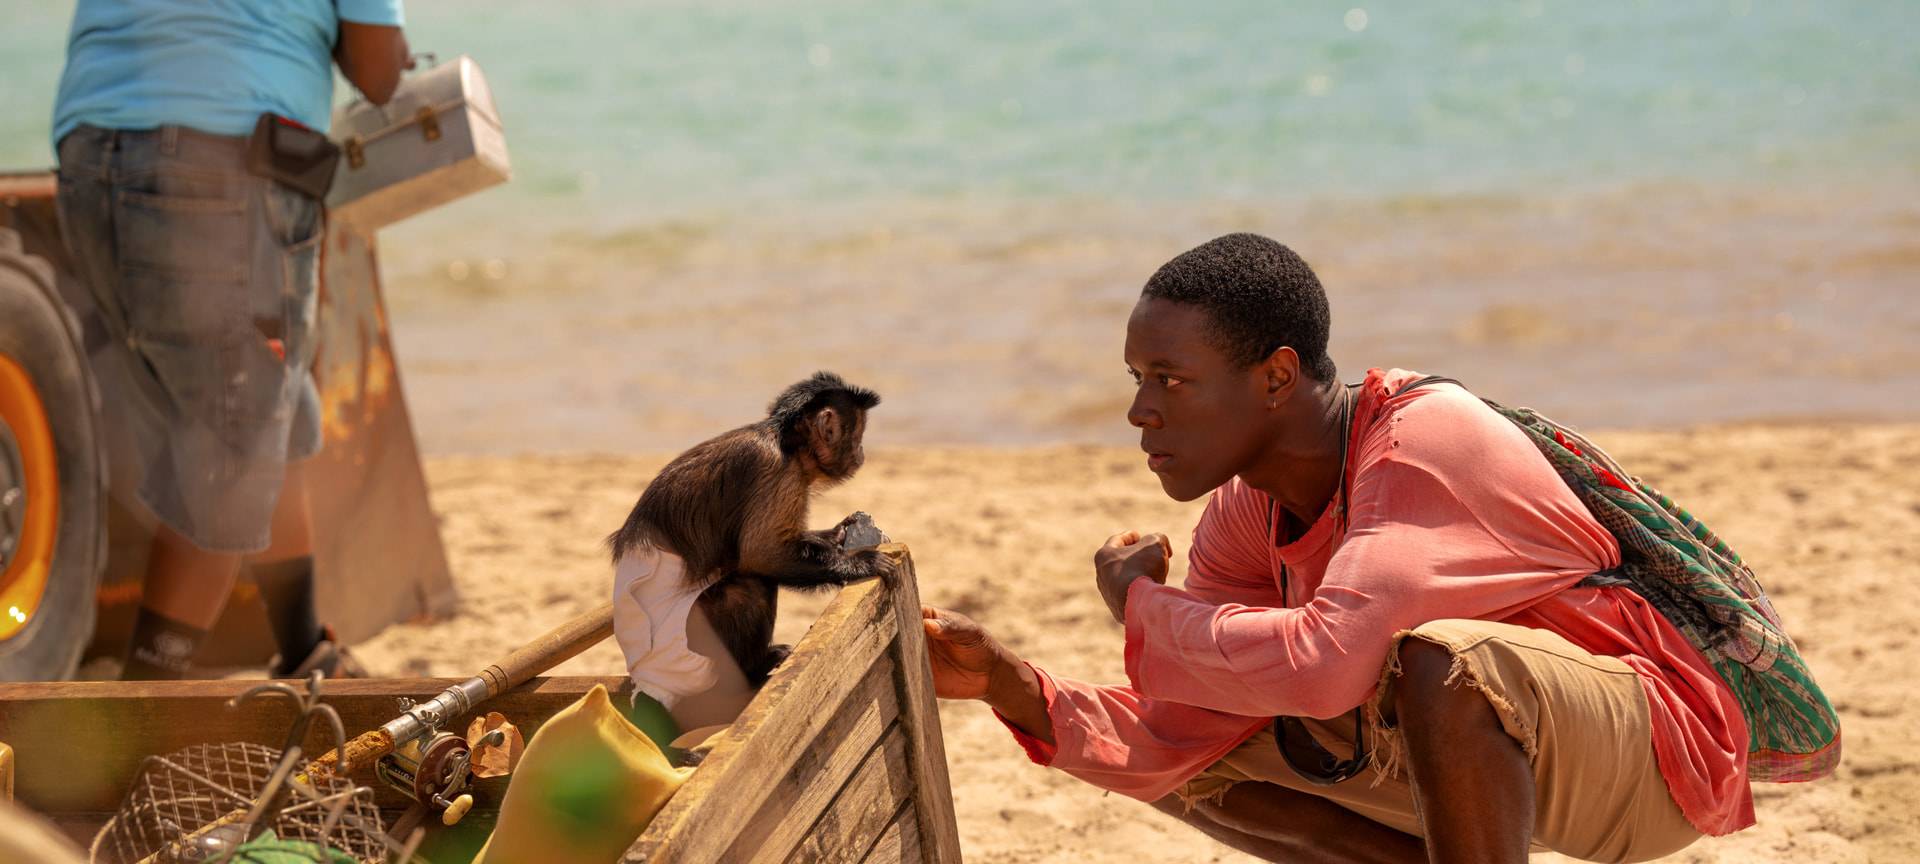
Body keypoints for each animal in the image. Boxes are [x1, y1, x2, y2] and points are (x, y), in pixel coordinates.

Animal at [608, 371, 894, 707]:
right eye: (858, 433)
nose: (862, 453)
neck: (787, 444)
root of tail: (646, 682)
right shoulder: (778, 472)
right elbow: (762, 555)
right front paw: (861, 562)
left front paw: (836, 535)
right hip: (693, 660)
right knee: (750, 584)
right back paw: (753, 670)